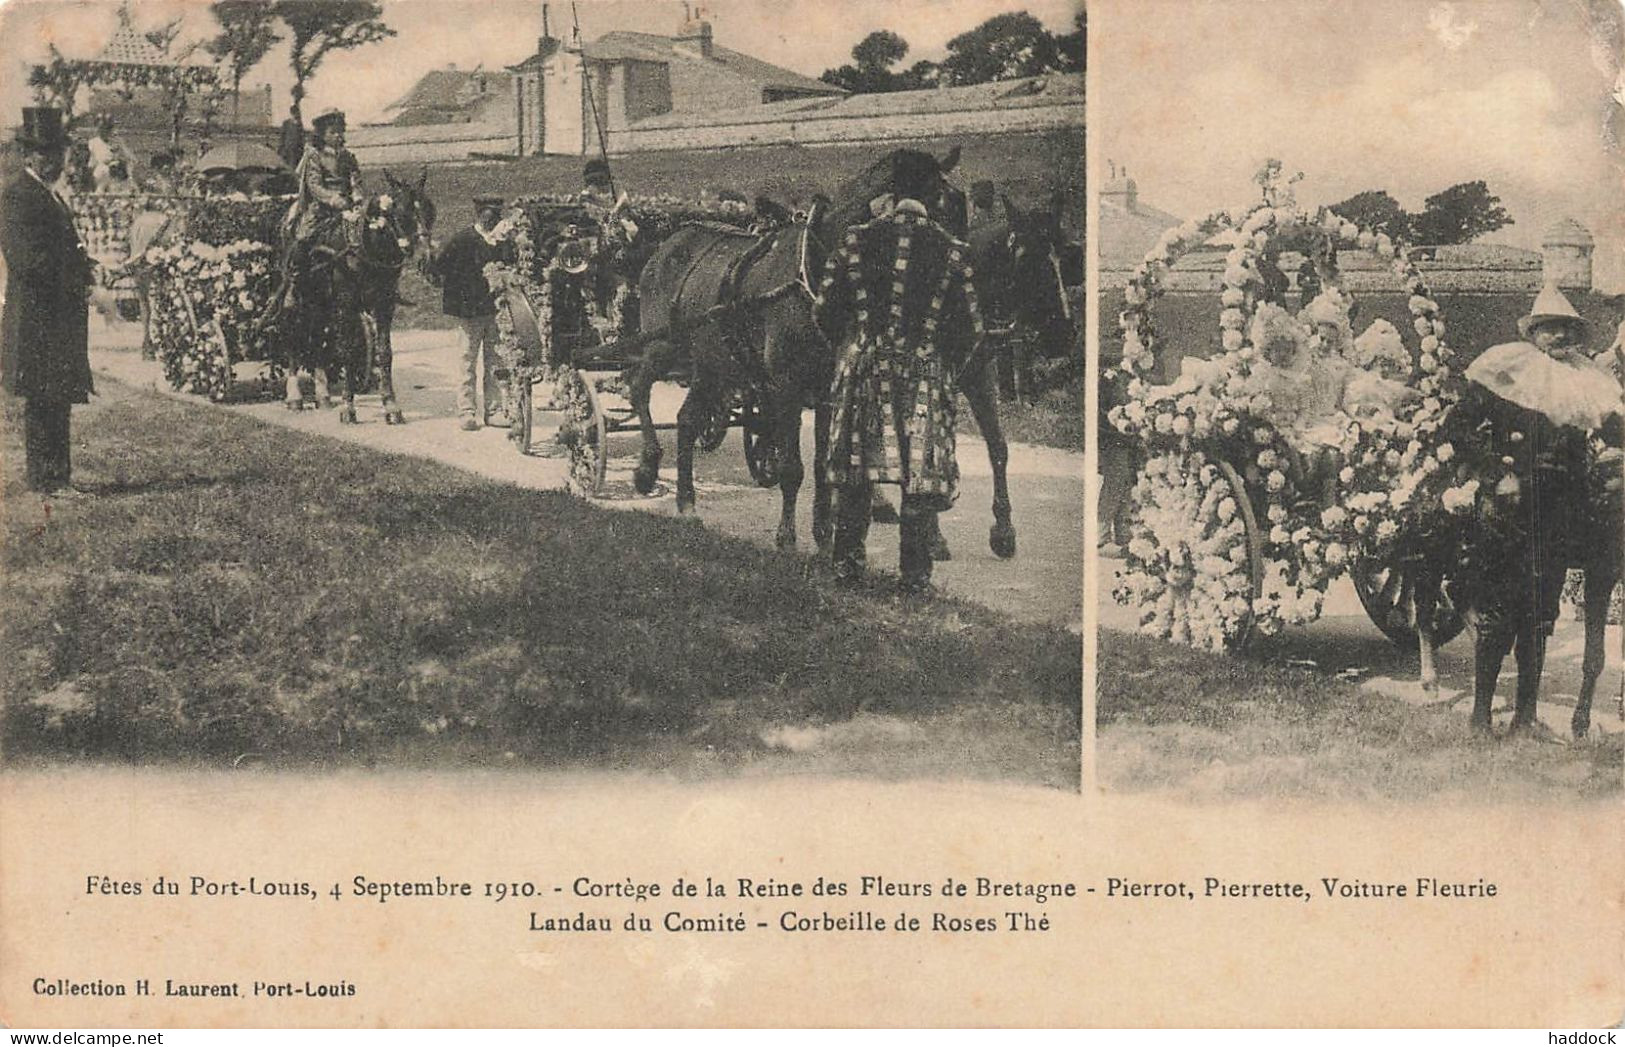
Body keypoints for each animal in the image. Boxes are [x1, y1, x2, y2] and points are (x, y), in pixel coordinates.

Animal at [276, 167, 435, 422]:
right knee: (293, 334)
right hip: (296, 297)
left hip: (321, 303)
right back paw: (295, 396)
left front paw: (390, 405)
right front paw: (348, 407)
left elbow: (385, 353)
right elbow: (348, 352)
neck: (365, 247)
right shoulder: (346, 304)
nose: (426, 258)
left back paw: (322, 394)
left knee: (317, 337)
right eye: (402, 214)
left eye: (430, 212)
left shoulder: (384, 305)